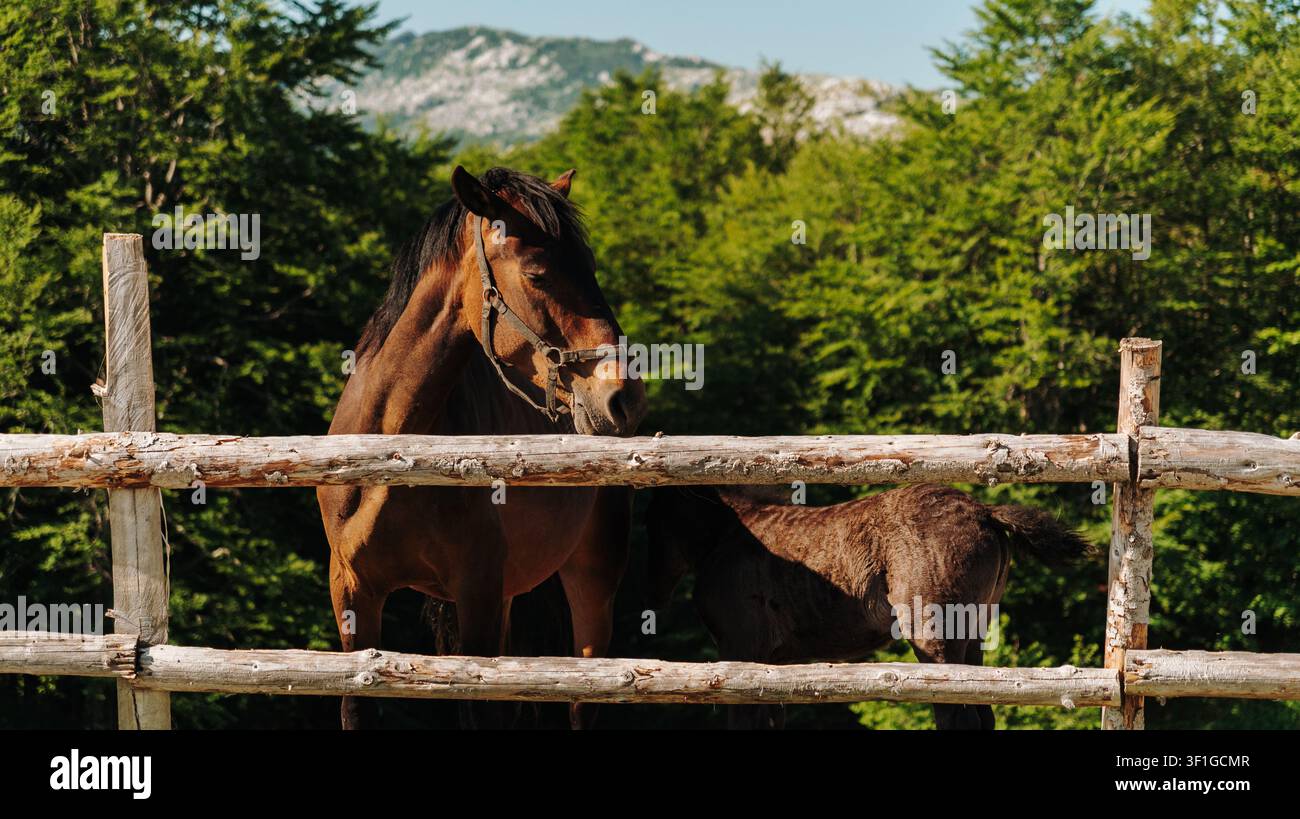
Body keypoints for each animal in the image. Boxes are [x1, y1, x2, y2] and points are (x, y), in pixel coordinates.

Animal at [318, 166, 648, 729]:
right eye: (538, 274)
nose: (623, 397)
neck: (394, 454)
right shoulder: (353, 593)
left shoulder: (478, 595)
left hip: (592, 582)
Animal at [645, 484, 1094, 729]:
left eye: (656, 516)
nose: (656, 590)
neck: (726, 537)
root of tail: (984, 512)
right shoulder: (775, 663)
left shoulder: (741, 652)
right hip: (973, 636)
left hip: (935, 639)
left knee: (956, 715)